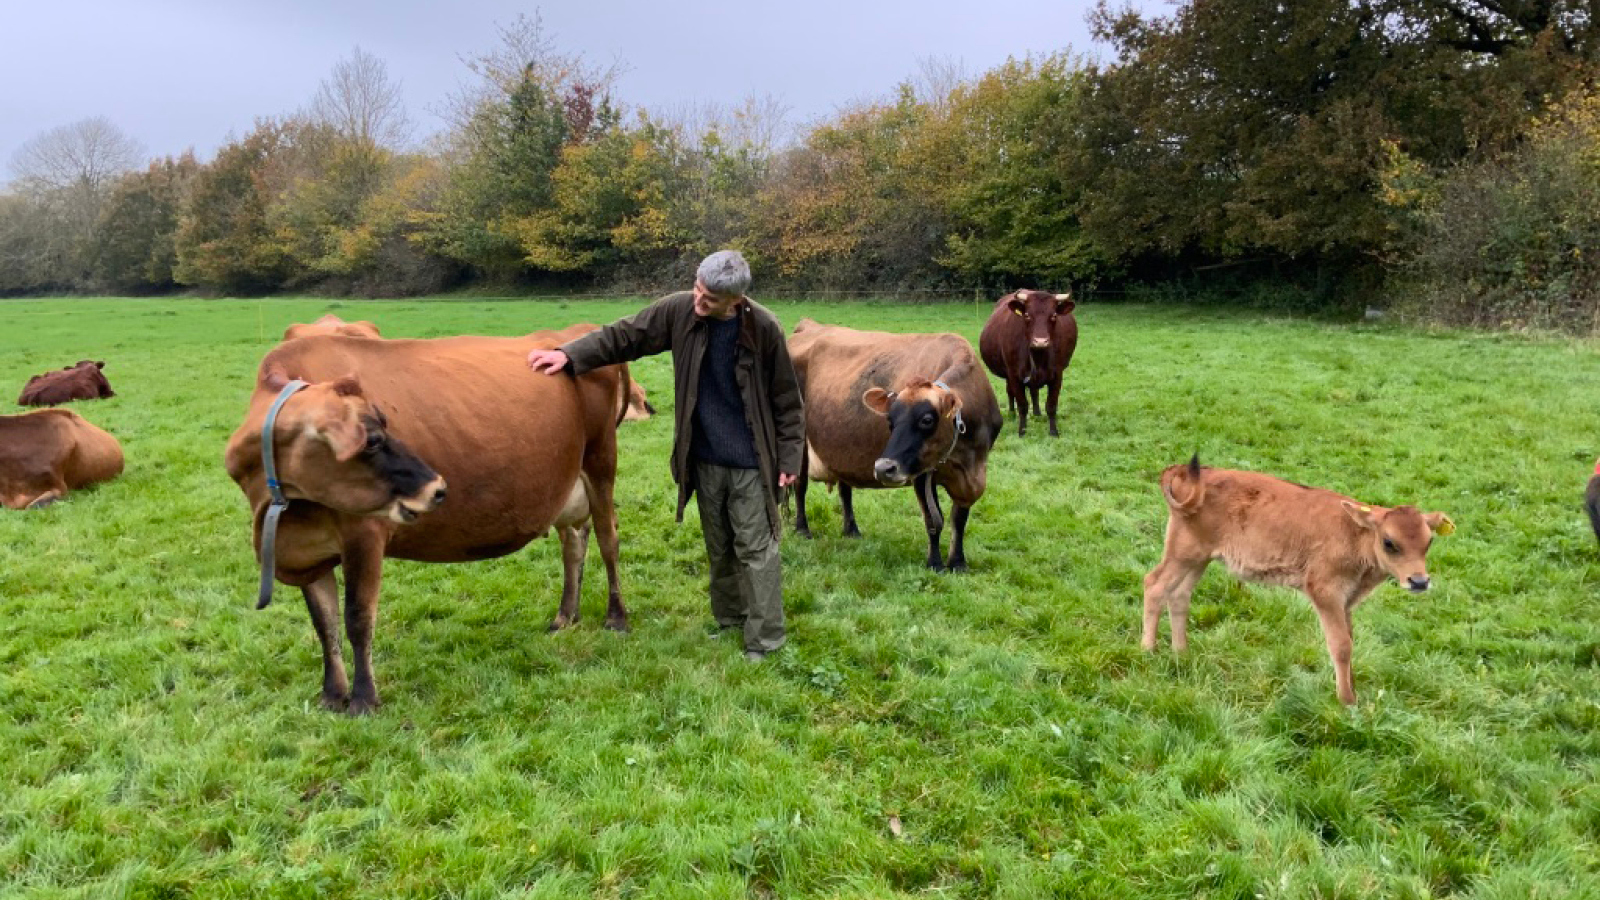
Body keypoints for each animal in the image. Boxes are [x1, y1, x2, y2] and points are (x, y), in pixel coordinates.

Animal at [224, 329, 632, 714]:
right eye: (373, 440)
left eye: (384, 428)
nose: (436, 488)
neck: (284, 511)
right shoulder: (308, 551)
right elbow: (324, 624)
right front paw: (332, 695)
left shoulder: (363, 535)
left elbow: (357, 618)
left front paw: (363, 700)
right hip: (567, 486)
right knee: (573, 544)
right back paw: (565, 616)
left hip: (600, 462)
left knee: (608, 540)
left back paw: (616, 618)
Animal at [787, 319, 1003, 571]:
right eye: (890, 421)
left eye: (926, 420)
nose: (883, 468)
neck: (966, 458)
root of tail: (809, 326)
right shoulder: (919, 471)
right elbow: (934, 521)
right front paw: (935, 563)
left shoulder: (971, 474)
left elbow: (959, 519)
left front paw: (957, 562)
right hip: (798, 441)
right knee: (800, 485)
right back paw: (802, 528)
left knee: (844, 488)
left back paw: (851, 530)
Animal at [978, 289, 1077, 437]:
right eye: (1027, 315)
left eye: (1054, 316)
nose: (1040, 341)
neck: (1038, 356)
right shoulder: (1013, 374)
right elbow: (1022, 404)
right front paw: (1022, 431)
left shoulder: (1057, 374)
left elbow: (1051, 405)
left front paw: (1053, 432)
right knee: (1010, 392)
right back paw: (1012, 414)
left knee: (1034, 391)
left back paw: (1037, 413)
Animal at [1142, 455, 1455, 705]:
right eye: (1389, 543)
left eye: (1429, 541)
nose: (1419, 581)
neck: (1355, 535)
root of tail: (1191, 471)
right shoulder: (1325, 592)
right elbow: (1341, 645)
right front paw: (1347, 702)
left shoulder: (1347, 600)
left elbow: (1350, 640)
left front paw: (1353, 691)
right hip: (1183, 553)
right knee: (1154, 585)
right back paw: (1147, 651)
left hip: (1198, 559)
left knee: (1179, 595)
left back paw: (1181, 653)